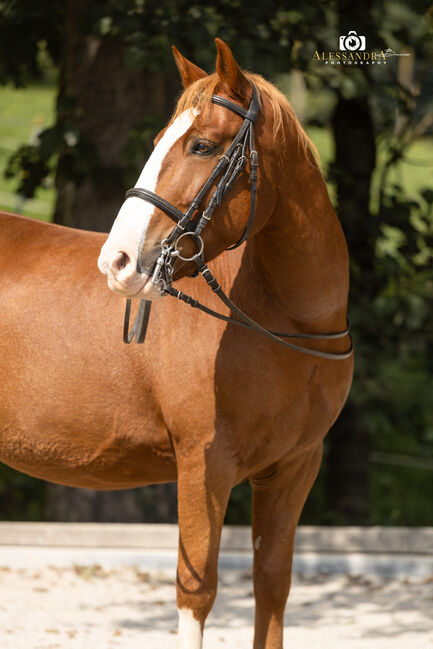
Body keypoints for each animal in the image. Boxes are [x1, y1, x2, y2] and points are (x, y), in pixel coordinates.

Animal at [0, 38, 353, 649]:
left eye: (202, 145)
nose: (117, 262)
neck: (286, 322)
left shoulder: (294, 468)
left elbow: (272, 585)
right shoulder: (204, 465)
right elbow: (197, 594)